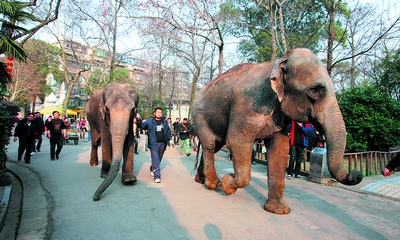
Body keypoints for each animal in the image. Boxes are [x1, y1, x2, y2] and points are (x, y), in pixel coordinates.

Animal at [192, 47, 364, 215]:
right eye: (316, 90)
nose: (356, 174)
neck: (280, 61)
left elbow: (280, 149)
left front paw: (279, 210)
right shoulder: (246, 105)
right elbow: (237, 142)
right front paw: (227, 183)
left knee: (214, 145)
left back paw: (201, 180)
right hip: (199, 115)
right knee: (210, 144)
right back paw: (213, 184)